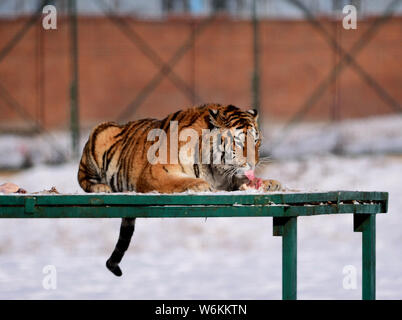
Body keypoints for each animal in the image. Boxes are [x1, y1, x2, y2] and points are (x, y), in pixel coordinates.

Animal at [77, 104, 282, 276]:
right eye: (239, 143)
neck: (215, 168)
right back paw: (101, 187)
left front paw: (271, 183)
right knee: (82, 179)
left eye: (257, 142)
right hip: (100, 134)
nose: (254, 163)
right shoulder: (155, 173)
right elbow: (181, 181)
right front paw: (199, 184)